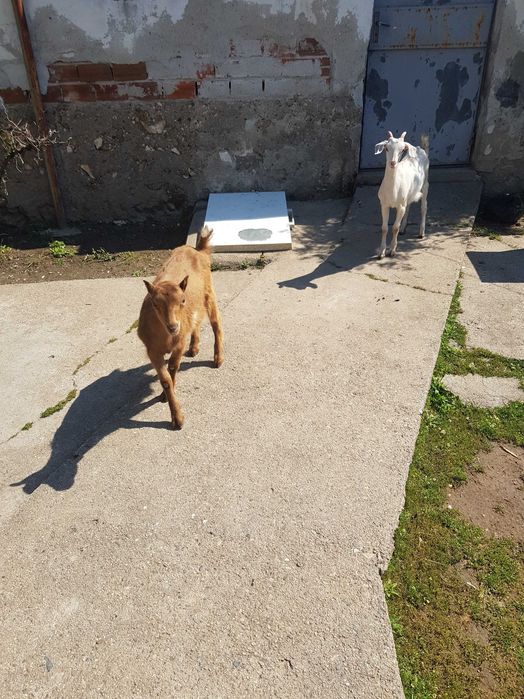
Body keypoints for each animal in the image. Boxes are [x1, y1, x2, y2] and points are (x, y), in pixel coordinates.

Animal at [138, 226, 224, 430]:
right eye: (155, 304)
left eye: (182, 300)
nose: (173, 326)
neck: (166, 338)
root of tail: (199, 250)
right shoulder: (152, 351)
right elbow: (165, 379)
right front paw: (172, 409)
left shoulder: (178, 344)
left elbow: (173, 368)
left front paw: (177, 417)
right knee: (196, 321)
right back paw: (194, 348)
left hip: (209, 294)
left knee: (216, 324)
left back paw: (218, 358)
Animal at [374, 130, 429, 259]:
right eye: (386, 148)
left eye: (402, 149)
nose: (393, 163)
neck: (392, 191)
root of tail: (420, 148)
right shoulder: (384, 204)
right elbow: (384, 228)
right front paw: (381, 252)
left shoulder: (400, 206)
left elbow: (395, 227)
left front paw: (392, 250)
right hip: (408, 194)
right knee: (408, 207)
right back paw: (404, 228)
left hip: (425, 184)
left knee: (424, 207)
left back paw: (421, 232)